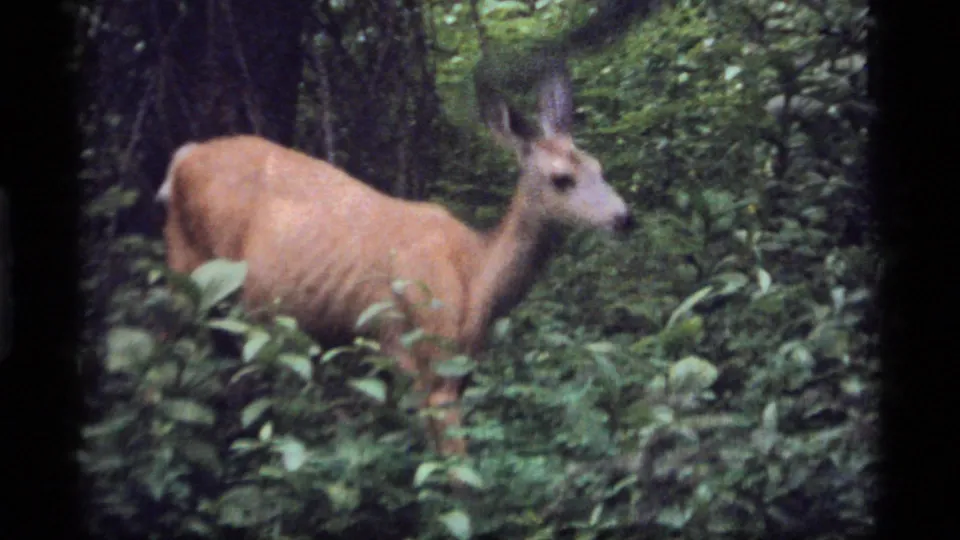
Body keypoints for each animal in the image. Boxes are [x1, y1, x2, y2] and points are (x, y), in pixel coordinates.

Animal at [154, 67, 634, 459]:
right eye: (561, 179)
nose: (625, 218)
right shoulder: (422, 356)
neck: (475, 277)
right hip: (185, 268)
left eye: (599, 166)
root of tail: (182, 157)